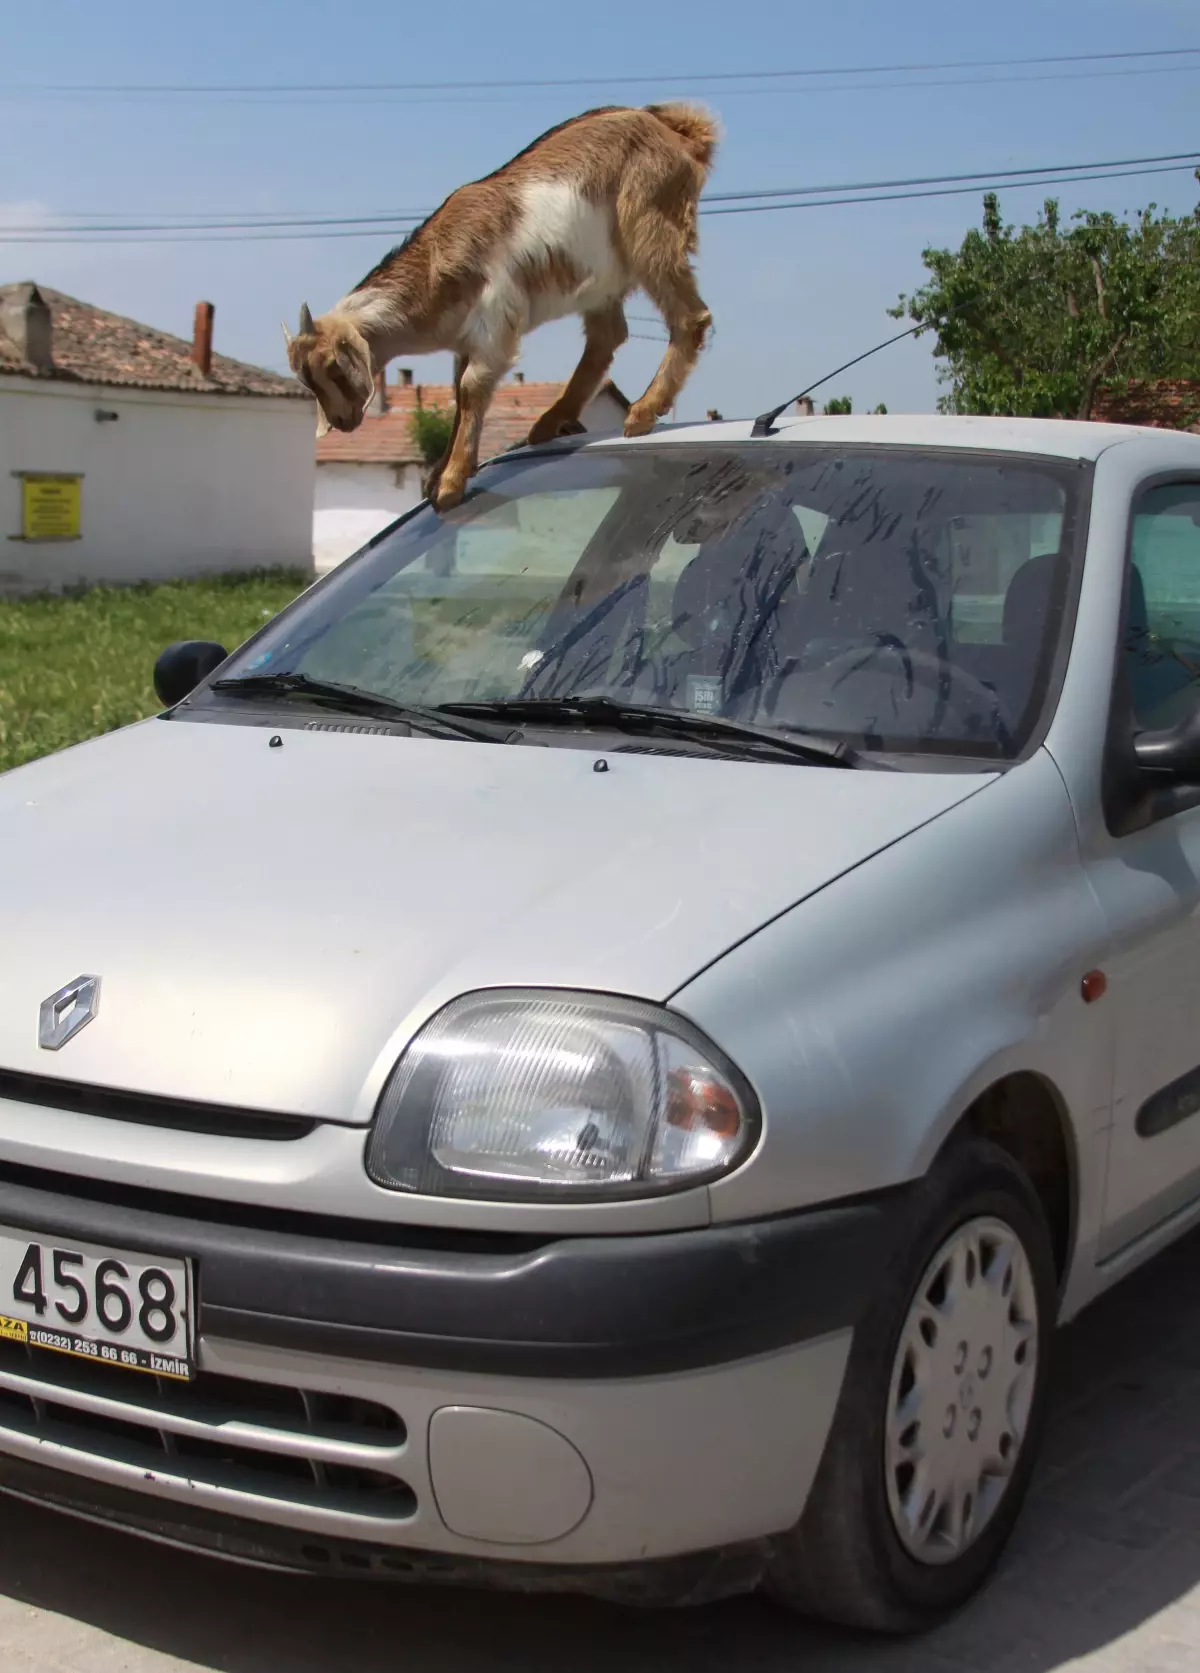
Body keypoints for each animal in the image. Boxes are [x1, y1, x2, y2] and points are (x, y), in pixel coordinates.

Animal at [286, 104, 716, 508]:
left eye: (334, 368)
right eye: (306, 379)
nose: (341, 421)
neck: (434, 266)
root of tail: (680, 135)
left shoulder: (494, 316)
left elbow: (472, 387)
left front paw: (450, 483)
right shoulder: (465, 338)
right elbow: (458, 396)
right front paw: (438, 474)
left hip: (649, 223)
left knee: (688, 315)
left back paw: (643, 411)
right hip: (602, 280)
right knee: (607, 336)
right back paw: (550, 422)